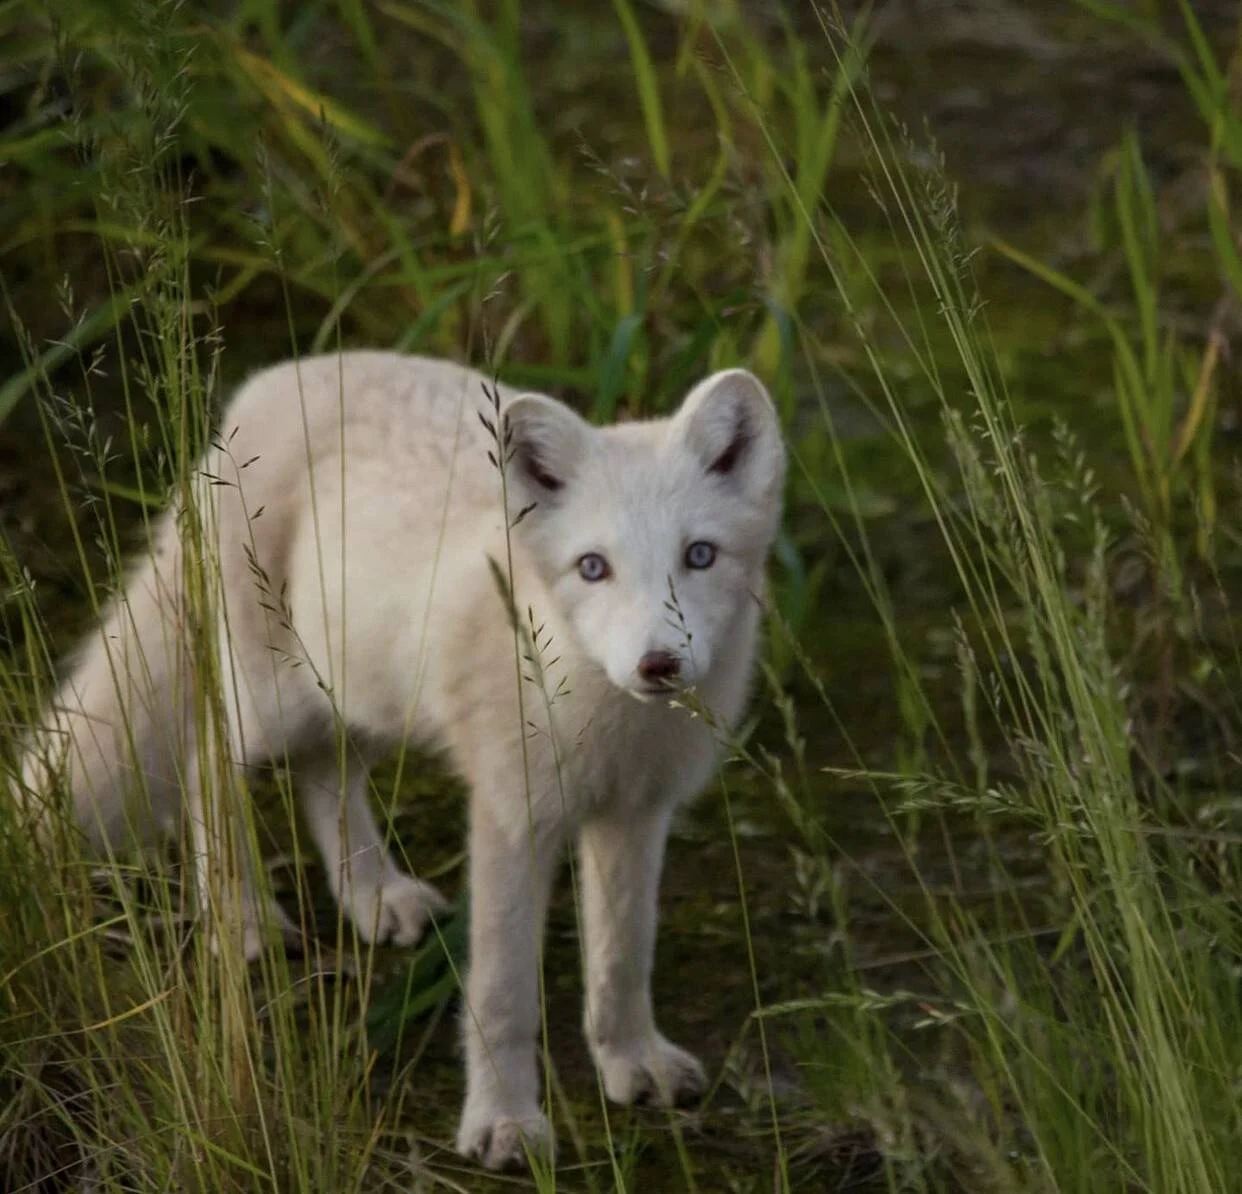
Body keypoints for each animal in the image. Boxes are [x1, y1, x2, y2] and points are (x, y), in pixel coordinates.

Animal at [15, 351, 786, 1169]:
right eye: (592, 567)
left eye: (699, 556)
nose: (658, 664)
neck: (608, 717)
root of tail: (272, 384)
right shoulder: (512, 814)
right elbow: (503, 995)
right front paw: (503, 1123)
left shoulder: (636, 814)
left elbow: (622, 959)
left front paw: (630, 1061)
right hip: (272, 702)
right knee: (205, 764)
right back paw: (241, 917)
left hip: (365, 700)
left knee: (326, 777)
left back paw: (373, 896)